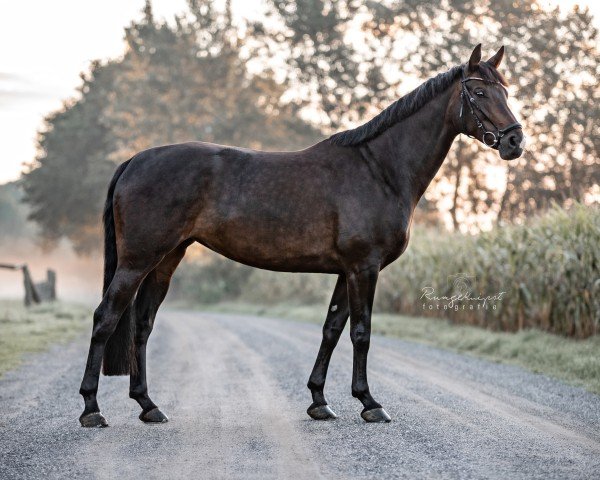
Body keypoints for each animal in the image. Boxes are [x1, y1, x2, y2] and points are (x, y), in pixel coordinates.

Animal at [81, 45, 524, 428]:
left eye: (506, 90)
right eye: (479, 91)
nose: (515, 140)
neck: (379, 169)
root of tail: (135, 161)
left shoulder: (347, 271)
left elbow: (332, 329)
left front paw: (319, 401)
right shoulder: (364, 267)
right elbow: (361, 333)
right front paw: (369, 403)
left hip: (166, 260)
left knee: (142, 325)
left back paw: (148, 406)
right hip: (137, 261)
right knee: (106, 318)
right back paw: (91, 409)